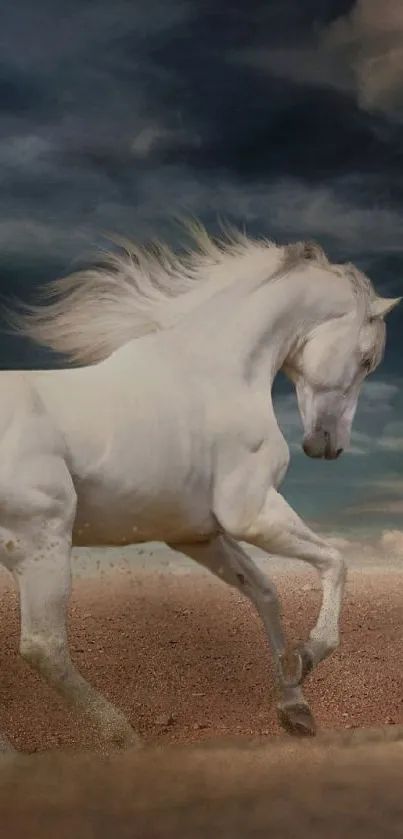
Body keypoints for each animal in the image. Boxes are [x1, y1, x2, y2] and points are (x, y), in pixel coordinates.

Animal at [0, 222, 399, 754]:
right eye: (367, 358)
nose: (327, 445)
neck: (214, 371)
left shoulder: (197, 535)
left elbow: (265, 591)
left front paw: (294, 705)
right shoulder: (251, 513)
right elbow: (336, 562)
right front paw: (308, 656)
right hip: (41, 541)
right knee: (45, 647)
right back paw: (124, 738)